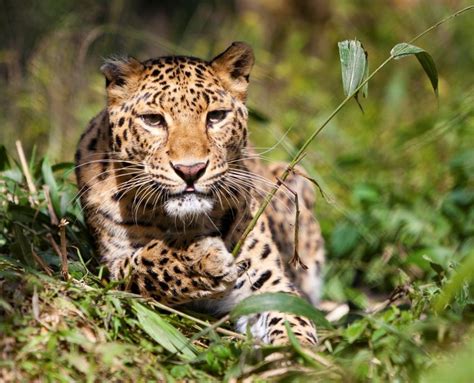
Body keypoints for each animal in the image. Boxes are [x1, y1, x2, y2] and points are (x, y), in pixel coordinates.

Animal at [75, 41, 326, 344]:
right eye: (153, 120)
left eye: (216, 116)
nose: (190, 170)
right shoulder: (111, 268)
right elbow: (146, 265)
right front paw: (203, 258)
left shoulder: (270, 288)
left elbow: (293, 323)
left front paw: (294, 353)